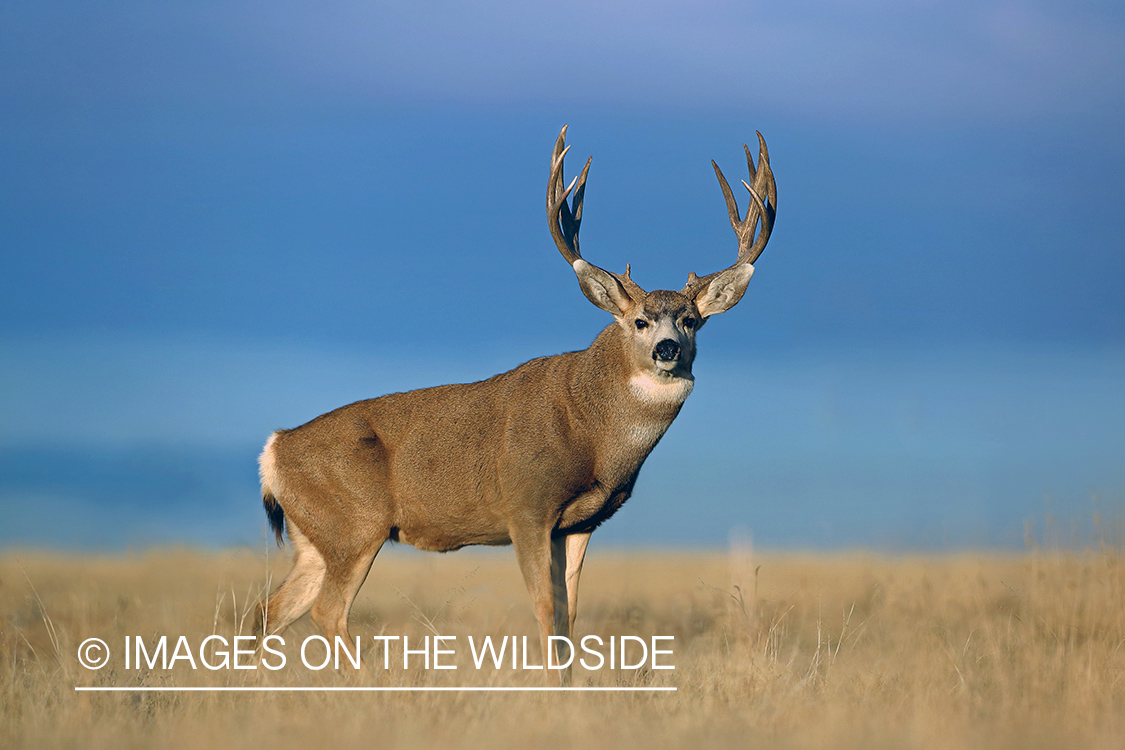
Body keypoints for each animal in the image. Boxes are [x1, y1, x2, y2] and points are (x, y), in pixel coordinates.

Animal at [254, 125, 774, 683]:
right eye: (639, 321)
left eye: (691, 320)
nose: (667, 349)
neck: (592, 432)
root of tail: (273, 450)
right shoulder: (526, 506)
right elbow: (545, 609)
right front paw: (550, 688)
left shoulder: (580, 523)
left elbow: (569, 614)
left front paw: (569, 686)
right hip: (356, 524)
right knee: (325, 611)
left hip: (316, 537)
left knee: (270, 610)